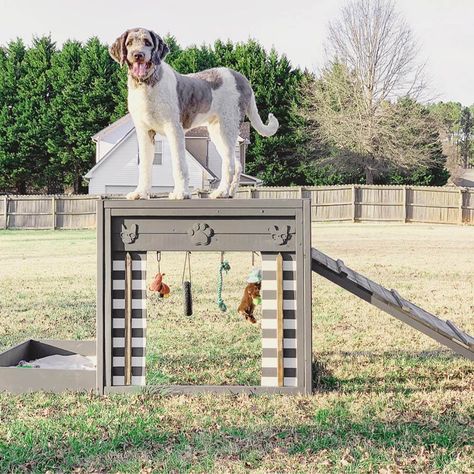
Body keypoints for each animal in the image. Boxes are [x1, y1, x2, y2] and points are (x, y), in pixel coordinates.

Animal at [109, 28, 280, 200]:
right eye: (129, 43)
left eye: (147, 42)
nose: (138, 54)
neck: (148, 84)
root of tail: (242, 79)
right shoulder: (145, 132)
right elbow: (144, 166)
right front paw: (140, 193)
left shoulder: (174, 129)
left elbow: (179, 165)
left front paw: (181, 193)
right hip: (216, 131)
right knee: (236, 164)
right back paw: (230, 192)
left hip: (227, 128)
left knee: (229, 164)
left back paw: (221, 191)